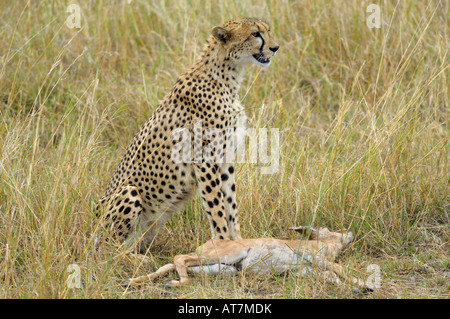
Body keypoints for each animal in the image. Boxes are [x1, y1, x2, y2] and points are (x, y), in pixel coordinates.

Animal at [96, 17, 278, 254]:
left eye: (268, 30)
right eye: (255, 34)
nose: (275, 47)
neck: (227, 75)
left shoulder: (226, 158)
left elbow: (230, 203)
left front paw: (237, 241)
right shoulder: (205, 160)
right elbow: (216, 206)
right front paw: (221, 244)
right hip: (128, 193)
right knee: (110, 251)